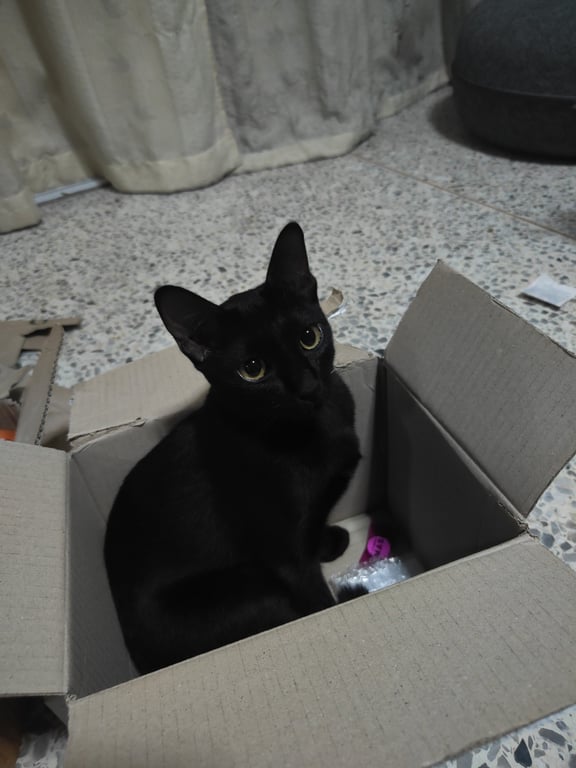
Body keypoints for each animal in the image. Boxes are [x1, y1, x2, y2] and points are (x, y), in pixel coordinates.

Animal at [104, 222, 364, 674]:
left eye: (310, 337)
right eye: (253, 370)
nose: (307, 388)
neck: (314, 429)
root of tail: (142, 664)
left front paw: (329, 540)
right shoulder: (285, 557)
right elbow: (317, 601)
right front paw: (332, 605)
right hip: (254, 590)